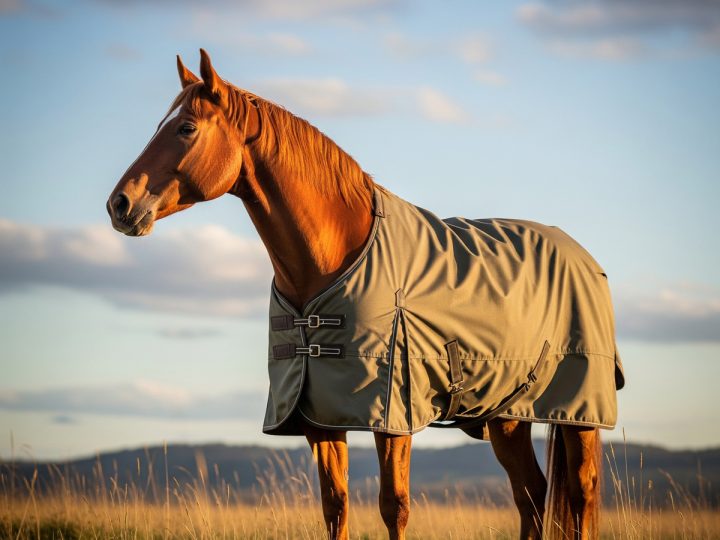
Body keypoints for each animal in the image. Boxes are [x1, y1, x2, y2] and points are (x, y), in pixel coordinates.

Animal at [107, 50, 623, 540]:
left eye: (186, 128)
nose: (119, 205)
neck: (332, 258)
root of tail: (585, 258)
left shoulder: (392, 414)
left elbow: (394, 507)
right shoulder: (320, 419)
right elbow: (335, 508)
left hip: (580, 416)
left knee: (580, 495)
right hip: (508, 414)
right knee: (530, 493)